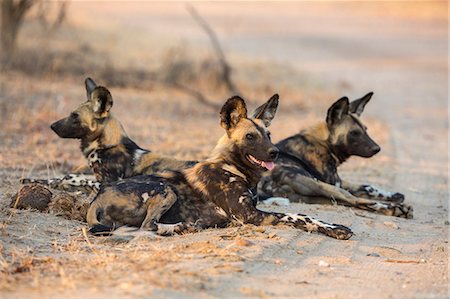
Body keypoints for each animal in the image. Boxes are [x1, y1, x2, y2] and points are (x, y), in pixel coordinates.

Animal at [21, 78, 196, 193]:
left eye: (75, 116)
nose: (52, 126)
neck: (104, 146)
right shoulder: (94, 176)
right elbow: (68, 176)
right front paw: (34, 180)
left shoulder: (107, 182)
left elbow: (82, 181)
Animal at [87, 95, 356, 240]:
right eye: (250, 137)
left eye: (269, 134)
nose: (275, 152)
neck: (233, 169)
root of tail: (97, 198)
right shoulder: (250, 216)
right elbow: (300, 215)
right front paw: (334, 229)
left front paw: (336, 228)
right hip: (166, 189)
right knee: (148, 226)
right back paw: (179, 227)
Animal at [258, 92, 414, 219]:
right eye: (354, 133)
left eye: (365, 129)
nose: (377, 149)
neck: (324, 143)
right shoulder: (335, 183)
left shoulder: (339, 182)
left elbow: (368, 186)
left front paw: (393, 195)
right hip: (321, 186)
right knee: (355, 200)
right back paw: (397, 209)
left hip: (315, 195)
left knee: (353, 202)